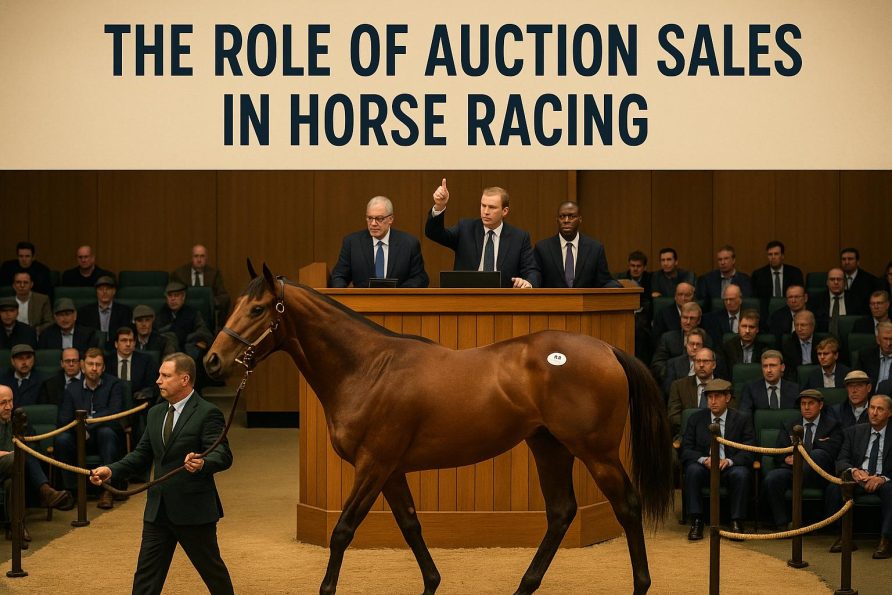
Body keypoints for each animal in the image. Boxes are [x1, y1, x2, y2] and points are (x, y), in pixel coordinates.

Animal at [205, 263, 673, 595]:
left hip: (596, 453)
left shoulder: (372, 466)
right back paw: (525, 586)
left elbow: (342, 532)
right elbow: (411, 526)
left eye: (258, 309)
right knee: (560, 513)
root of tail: (607, 349)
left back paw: (640, 585)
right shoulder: (391, 471)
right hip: (549, 447)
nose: (212, 360)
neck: (369, 369)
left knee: (627, 506)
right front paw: (432, 583)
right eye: (236, 306)